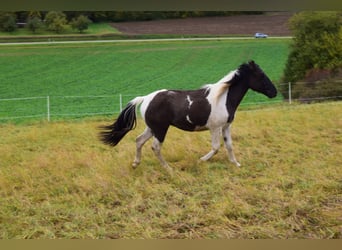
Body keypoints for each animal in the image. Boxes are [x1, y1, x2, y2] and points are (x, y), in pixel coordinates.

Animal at [99, 60, 278, 172]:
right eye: (261, 75)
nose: (274, 92)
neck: (223, 98)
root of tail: (145, 98)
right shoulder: (215, 128)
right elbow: (216, 147)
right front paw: (200, 160)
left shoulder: (226, 127)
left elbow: (229, 146)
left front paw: (236, 164)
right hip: (161, 129)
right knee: (155, 147)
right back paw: (168, 169)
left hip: (152, 128)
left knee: (138, 141)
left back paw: (136, 164)